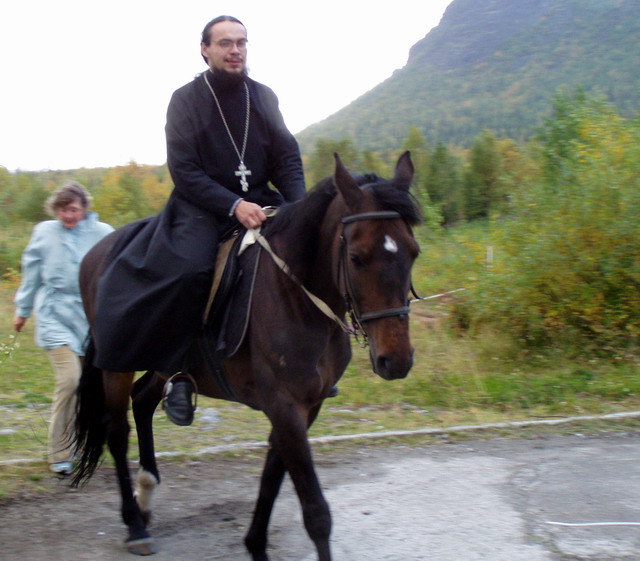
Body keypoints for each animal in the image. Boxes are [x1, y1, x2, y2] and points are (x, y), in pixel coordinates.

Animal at [71, 153, 420, 560]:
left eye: (413, 252)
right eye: (356, 257)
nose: (396, 360)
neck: (295, 296)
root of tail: (93, 254)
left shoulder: (305, 406)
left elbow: (272, 475)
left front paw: (255, 544)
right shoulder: (285, 405)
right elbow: (316, 512)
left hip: (161, 360)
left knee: (142, 401)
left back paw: (146, 495)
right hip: (116, 364)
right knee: (116, 430)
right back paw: (135, 524)